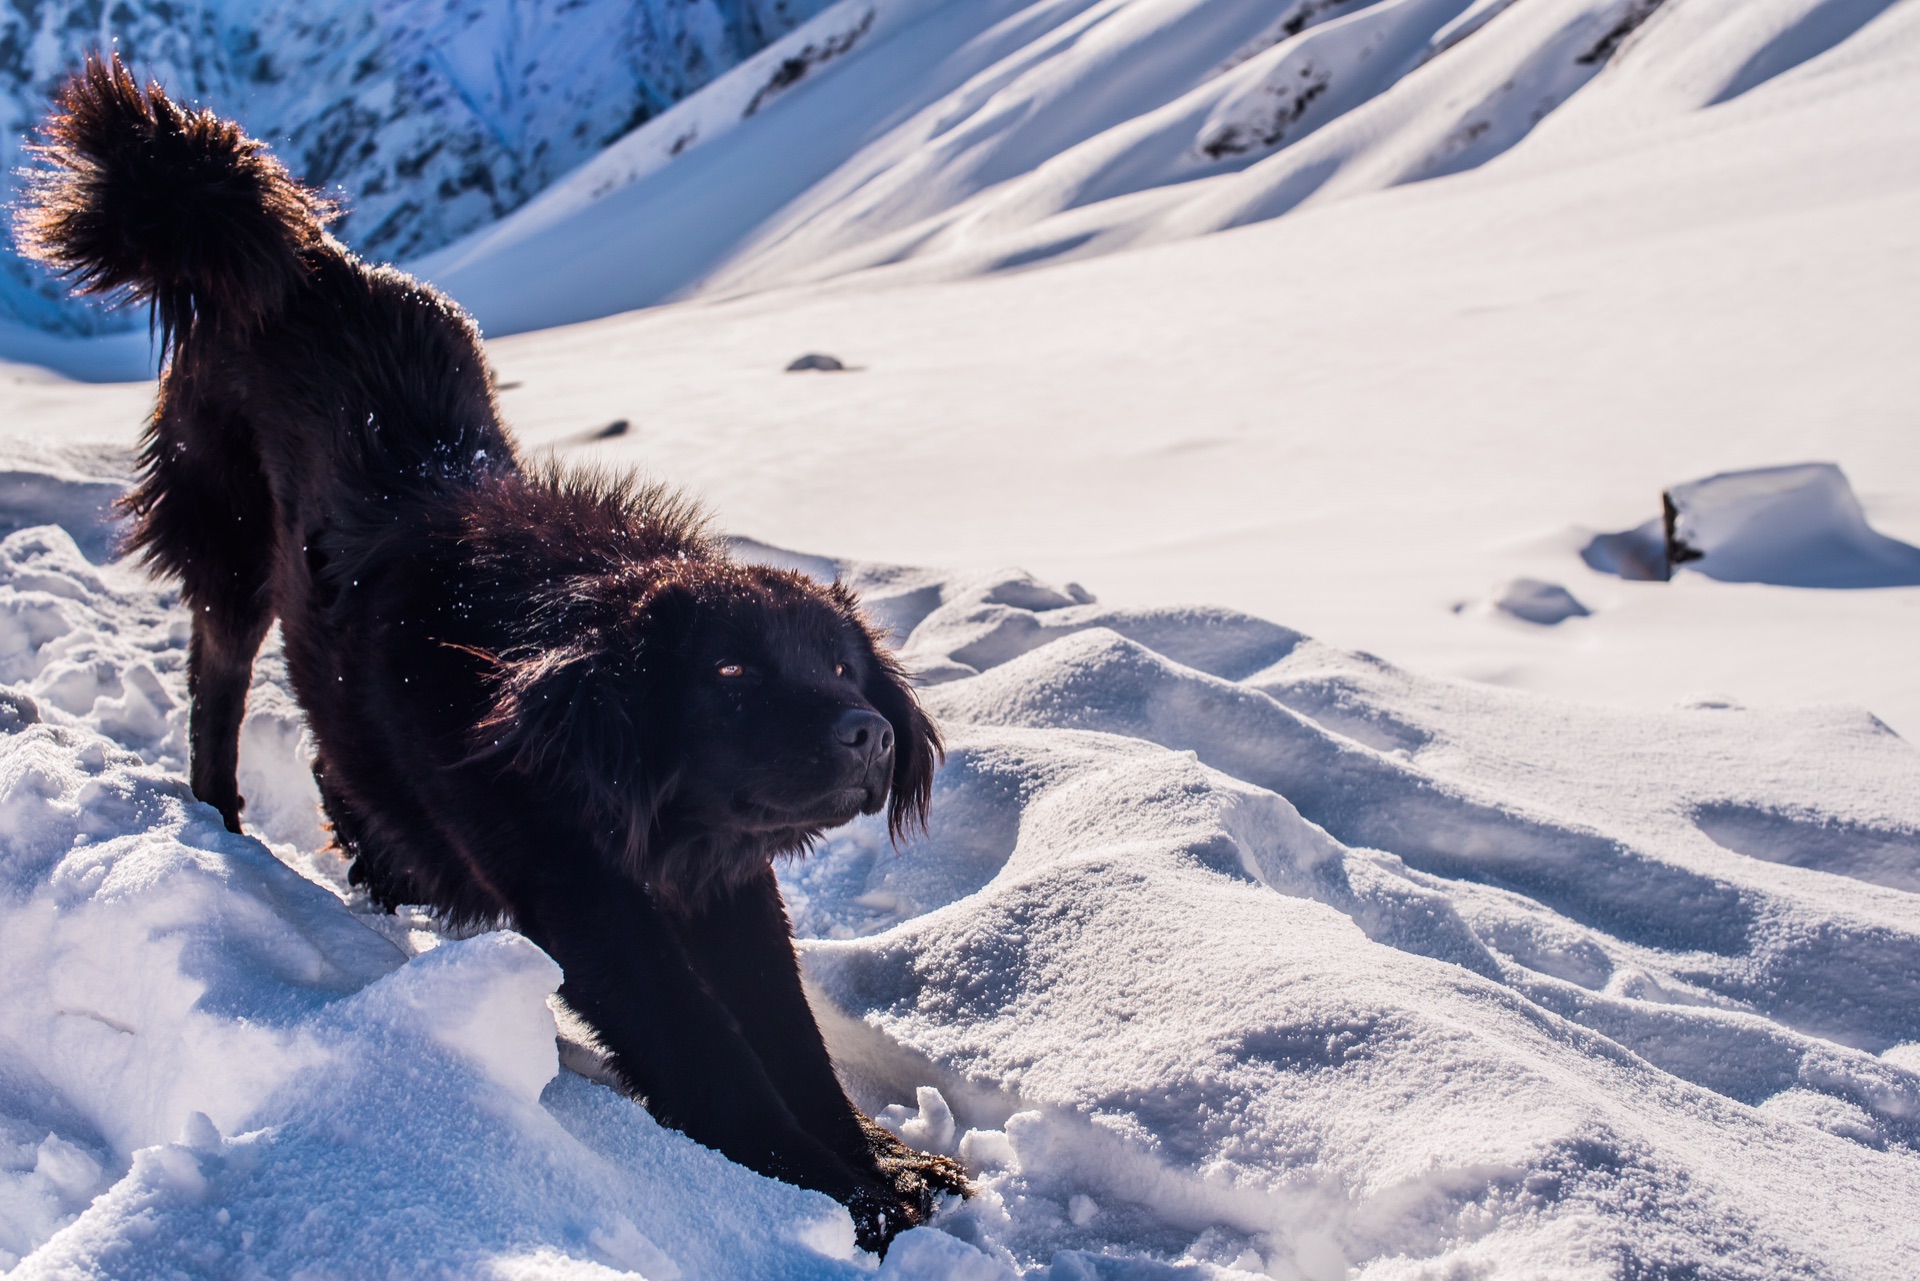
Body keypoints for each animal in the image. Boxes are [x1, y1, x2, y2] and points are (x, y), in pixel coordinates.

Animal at [16, 60, 967, 1252]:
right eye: (732, 678)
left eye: (843, 667)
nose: (869, 732)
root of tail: (302, 257)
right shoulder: (585, 895)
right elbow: (708, 1057)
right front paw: (844, 1198)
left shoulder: (724, 877)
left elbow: (788, 1033)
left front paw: (882, 1157)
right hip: (230, 550)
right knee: (216, 694)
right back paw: (224, 828)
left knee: (335, 754)